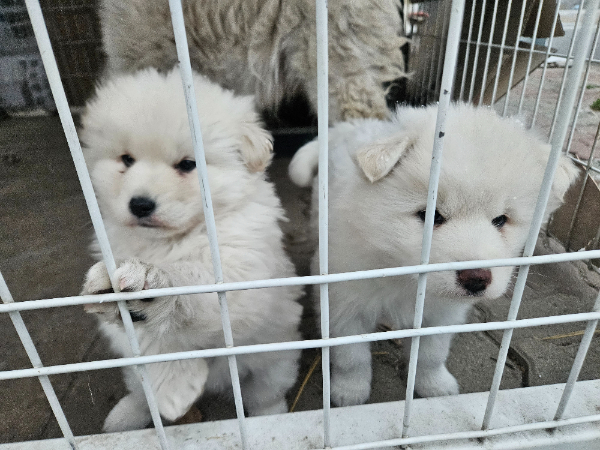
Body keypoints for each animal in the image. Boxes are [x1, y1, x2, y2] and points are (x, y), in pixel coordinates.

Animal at [79, 68, 303, 432]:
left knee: (265, 393)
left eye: (187, 165)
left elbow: (194, 284)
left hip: (274, 360)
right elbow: (154, 346)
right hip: (133, 375)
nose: (140, 205)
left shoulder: (241, 273)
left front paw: (151, 281)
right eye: (126, 160)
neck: (173, 239)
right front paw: (175, 389)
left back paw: (270, 416)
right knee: (140, 394)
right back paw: (124, 417)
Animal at [288, 103, 579, 405]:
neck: (403, 273)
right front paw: (350, 391)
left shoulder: (443, 313)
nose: (476, 279)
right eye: (431, 216)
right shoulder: (345, 304)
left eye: (501, 220)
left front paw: (435, 385)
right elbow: (351, 355)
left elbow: (431, 354)